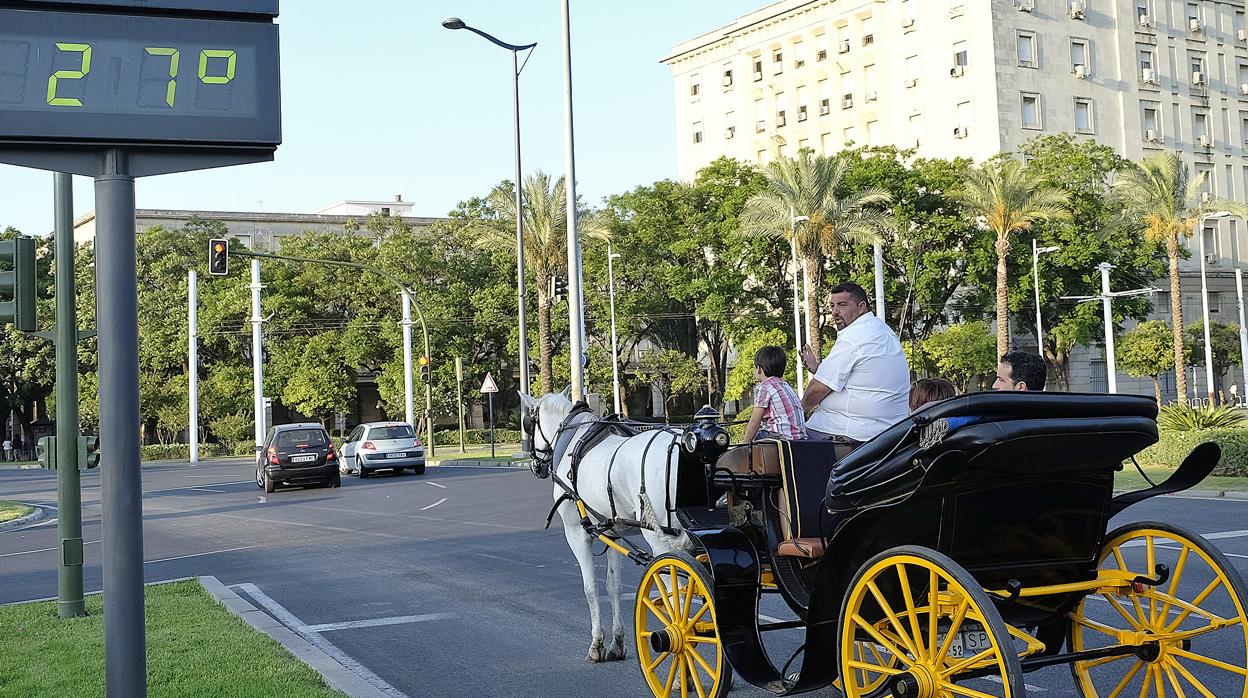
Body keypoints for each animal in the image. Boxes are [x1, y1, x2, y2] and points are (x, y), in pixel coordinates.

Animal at [516, 389, 693, 664]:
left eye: (527, 423)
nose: (536, 466)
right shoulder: (614, 533)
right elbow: (613, 586)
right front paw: (617, 643)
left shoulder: (576, 534)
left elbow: (591, 587)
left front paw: (596, 645)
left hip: (660, 539)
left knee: (677, 592)